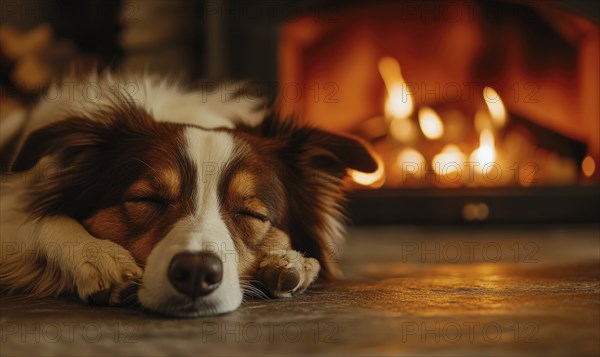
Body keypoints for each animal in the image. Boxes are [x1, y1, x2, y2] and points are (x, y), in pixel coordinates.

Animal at [0, 71, 376, 316]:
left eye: (252, 214)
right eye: (146, 200)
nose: (196, 273)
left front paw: (292, 261)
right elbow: (38, 221)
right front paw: (99, 257)